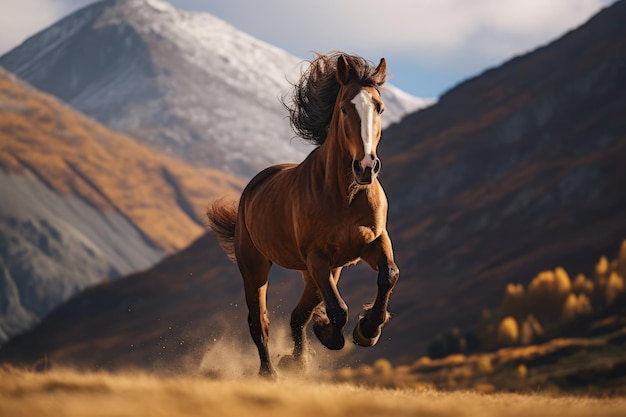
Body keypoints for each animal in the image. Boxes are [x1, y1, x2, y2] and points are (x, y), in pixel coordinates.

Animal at [207, 52, 398, 376]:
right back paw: (270, 373)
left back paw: (296, 360)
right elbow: (338, 309)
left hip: (321, 271)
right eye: (344, 108)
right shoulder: (317, 256)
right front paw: (334, 336)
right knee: (260, 321)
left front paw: (367, 330)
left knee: (298, 315)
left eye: (380, 107)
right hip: (256, 267)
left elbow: (389, 276)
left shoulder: (372, 242)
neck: (346, 195)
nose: (366, 167)